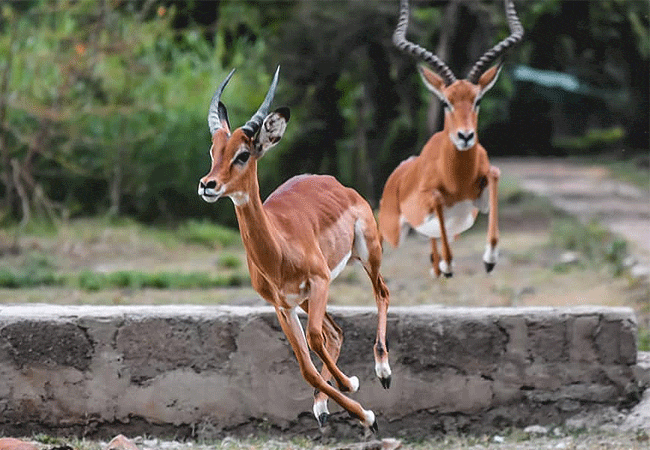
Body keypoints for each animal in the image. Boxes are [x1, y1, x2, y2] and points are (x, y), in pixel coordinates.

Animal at [198, 67, 390, 431]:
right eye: (214, 151)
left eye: (242, 154)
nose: (207, 185)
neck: (280, 247)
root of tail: (335, 182)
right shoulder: (282, 306)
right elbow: (306, 368)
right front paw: (365, 414)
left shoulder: (319, 281)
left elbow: (314, 339)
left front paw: (351, 383)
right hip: (305, 299)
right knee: (335, 332)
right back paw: (323, 408)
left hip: (366, 254)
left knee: (381, 295)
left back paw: (383, 372)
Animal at [378, 0, 524, 278]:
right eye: (446, 102)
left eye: (478, 100)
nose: (465, 136)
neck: (458, 179)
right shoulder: (426, 203)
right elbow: (436, 198)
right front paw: (448, 263)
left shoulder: (480, 202)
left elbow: (495, 173)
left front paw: (489, 259)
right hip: (391, 231)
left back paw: (436, 265)